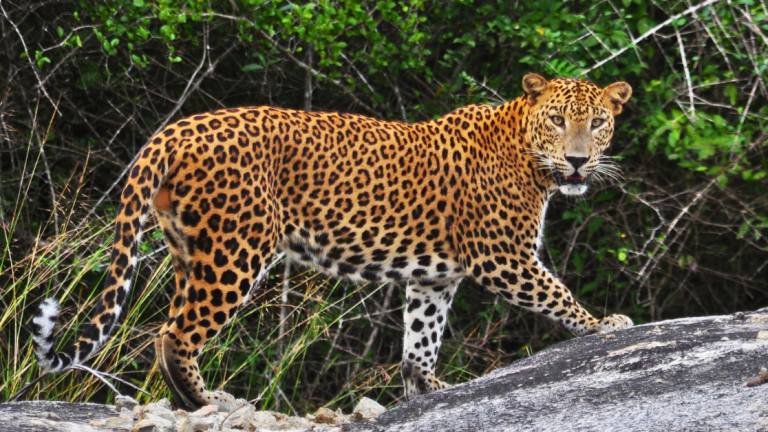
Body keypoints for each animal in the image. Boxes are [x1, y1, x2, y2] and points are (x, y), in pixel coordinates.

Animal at [32, 74, 633, 411]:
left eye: (599, 122)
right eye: (558, 120)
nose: (578, 160)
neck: (531, 157)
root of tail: (174, 129)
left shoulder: (434, 277)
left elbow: (420, 339)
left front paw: (427, 391)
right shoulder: (502, 256)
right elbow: (557, 293)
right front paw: (605, 324)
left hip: (190, 251)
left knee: (171, 326)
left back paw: (194, 400)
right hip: (235, 249)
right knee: (175, 333)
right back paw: (207, 403)